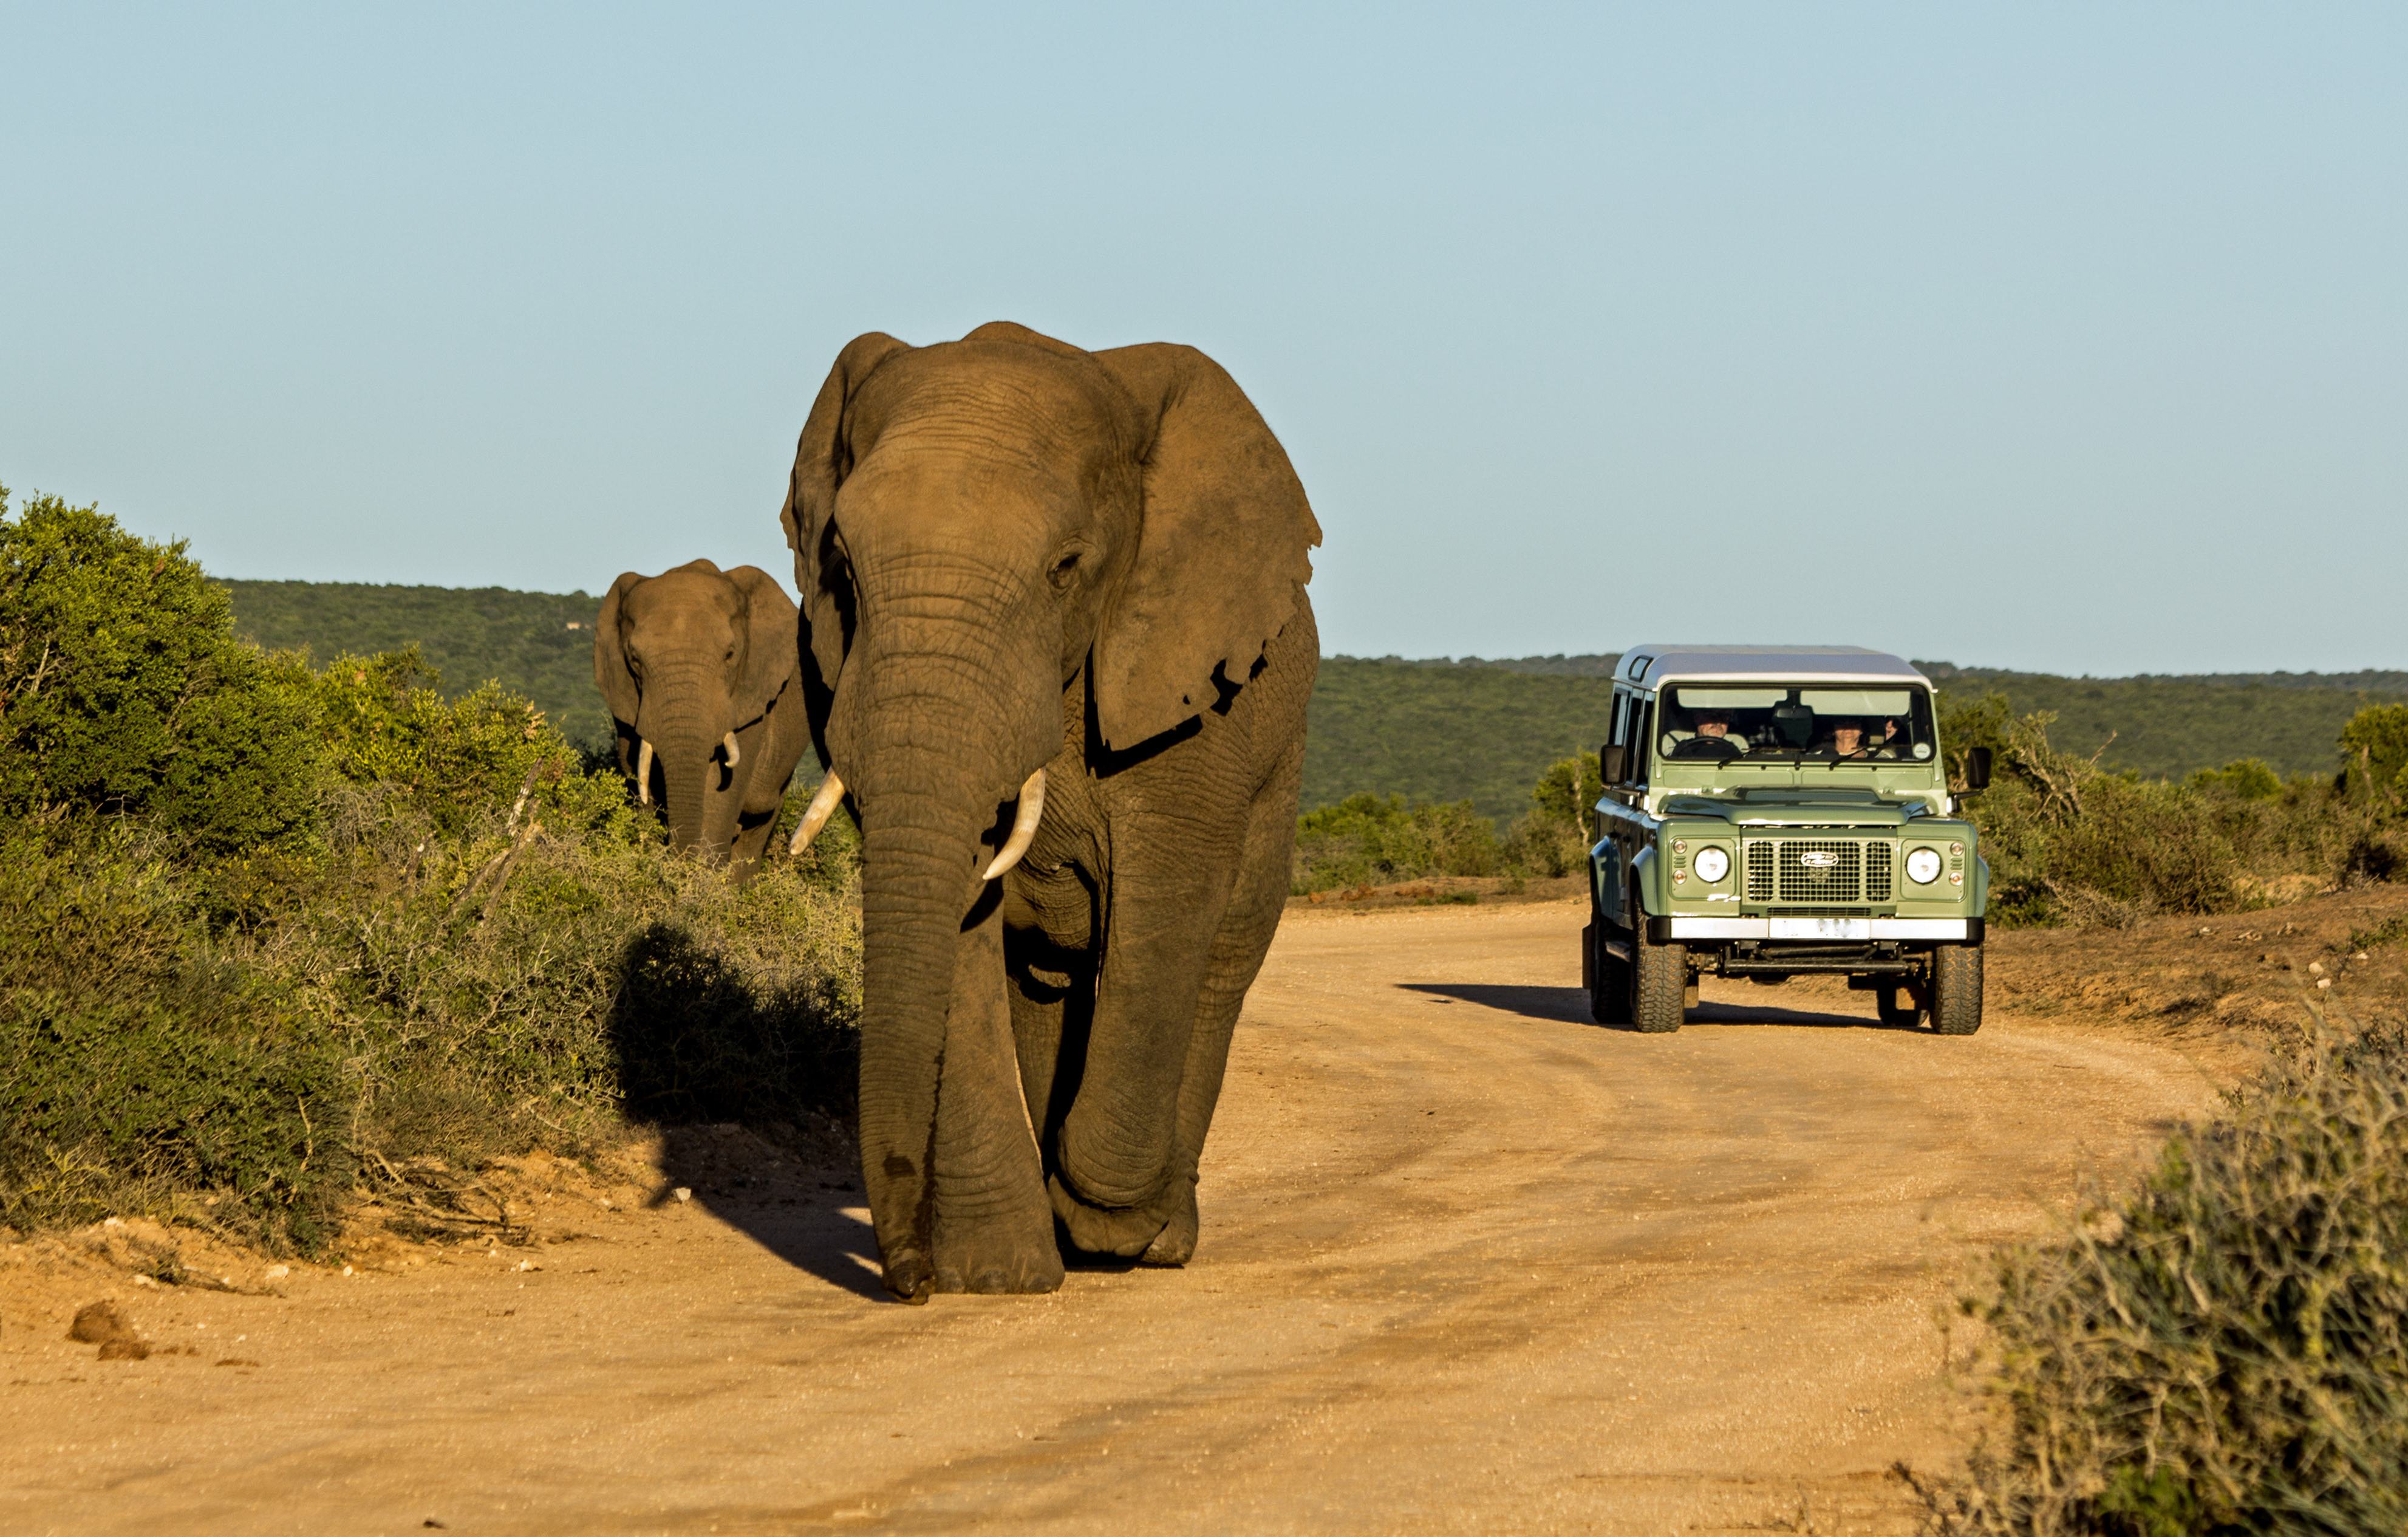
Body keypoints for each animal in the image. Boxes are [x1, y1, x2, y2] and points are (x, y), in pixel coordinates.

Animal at [595, 559, 813, 879]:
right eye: (634, 660)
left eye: (730, 655)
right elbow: (637, 773)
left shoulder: (749, 696)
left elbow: (723, 788)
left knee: (757, 825)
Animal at [781, 321, 1319, 1302]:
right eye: (841, 567)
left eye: (1064, 569)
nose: (907, 1278)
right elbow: (961, 929)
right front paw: (997, 1274)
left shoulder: (1189, 695)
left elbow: (1166, 908)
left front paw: (1109, 1223)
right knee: (1046, 981)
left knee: (1220, 958)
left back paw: (1154, 1238)